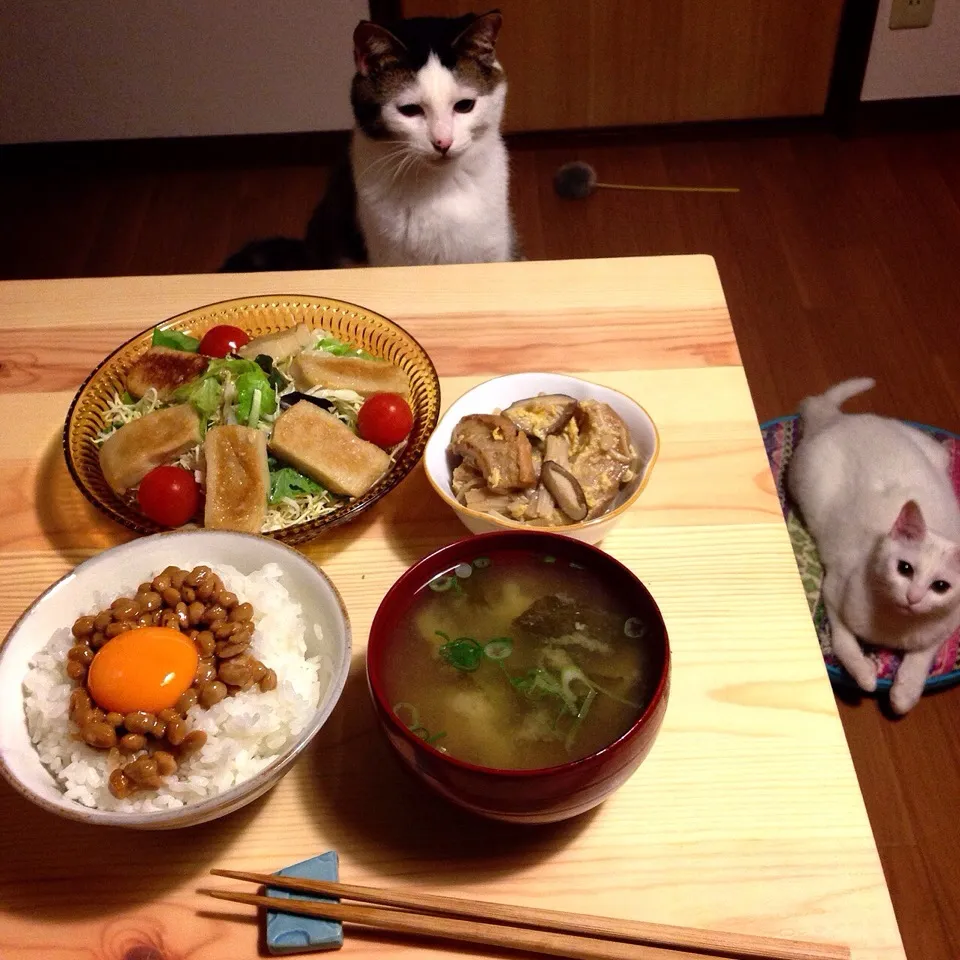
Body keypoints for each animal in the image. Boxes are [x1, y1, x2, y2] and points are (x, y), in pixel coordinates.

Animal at [788, 378, 960, 716]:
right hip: (801, 479)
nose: (913, 597)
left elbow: (922, 655)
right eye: (904, 568)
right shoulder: (834, 590)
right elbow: (843, 642)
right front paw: (865, 673)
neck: (896, 626)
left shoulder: (946, 625)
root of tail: (836, 419)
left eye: (941, 586)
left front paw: (904, 692)